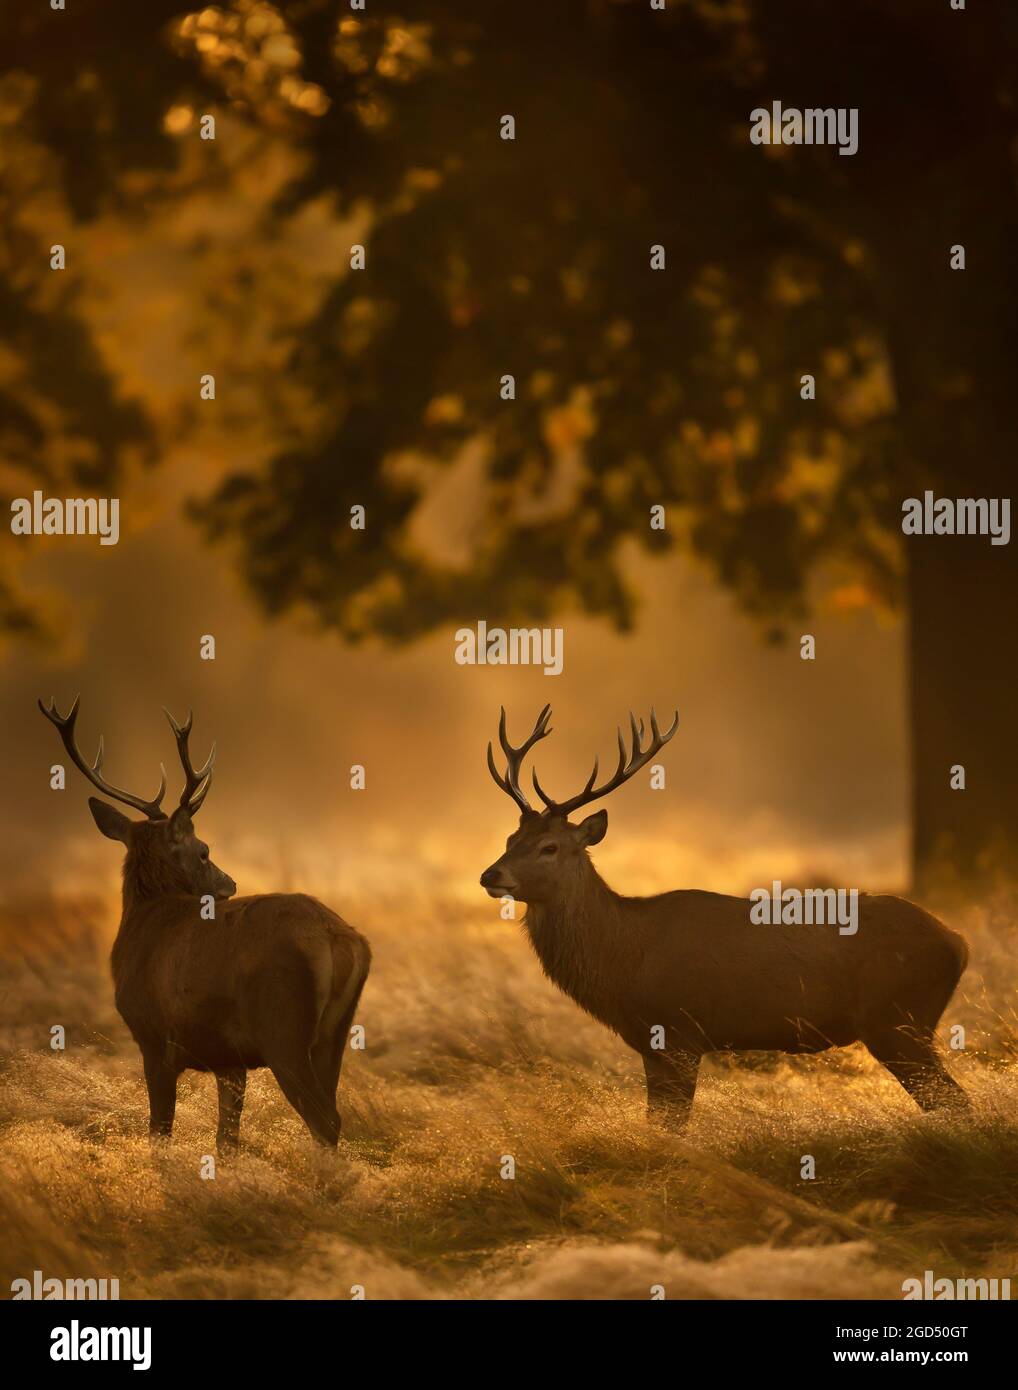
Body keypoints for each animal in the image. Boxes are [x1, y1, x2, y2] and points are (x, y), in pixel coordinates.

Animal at [38, 700, 369, 1145]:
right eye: (205, 851)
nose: (229, 882)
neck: (141, 922)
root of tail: (340, 939)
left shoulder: (154, 1038)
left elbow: (160, 1131)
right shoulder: (229, 1060)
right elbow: (226, 1138)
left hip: (284, 1030)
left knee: (325, 1119)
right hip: (333, 1035)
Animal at [481, 711, 967, 1123]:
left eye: (550, 847)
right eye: (509, 839)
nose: (490, 874)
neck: (626, 959)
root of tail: (958, 943)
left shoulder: (679, 1033)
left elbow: (670, 1126)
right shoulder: (652, 1046)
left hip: (899, 1021)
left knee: (954, 1101)